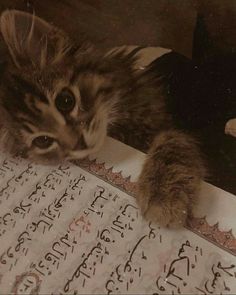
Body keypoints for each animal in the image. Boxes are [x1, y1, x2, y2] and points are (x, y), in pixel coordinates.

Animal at [0, 10, 205, 229]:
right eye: (43, 141)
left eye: (66, 101)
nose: (79, 143)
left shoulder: (165, 122)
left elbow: (172, 142)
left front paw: (164, 193)